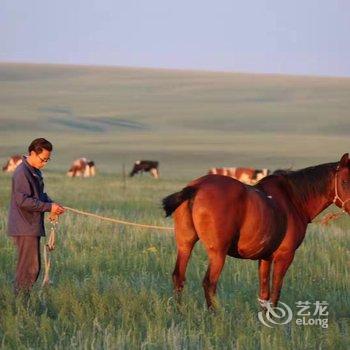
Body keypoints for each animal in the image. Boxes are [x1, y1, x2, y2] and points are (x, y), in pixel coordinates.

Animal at [163, 154, 348, 308]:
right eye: (345, 182)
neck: (293, 200)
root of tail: (197, 187)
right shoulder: (284, 256)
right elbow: (275, 293)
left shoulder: (265, 257)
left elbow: (264, 294)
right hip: (218, 253)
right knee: (209, 283)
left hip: (185, 245)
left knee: (178, 277)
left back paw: (180, 311)